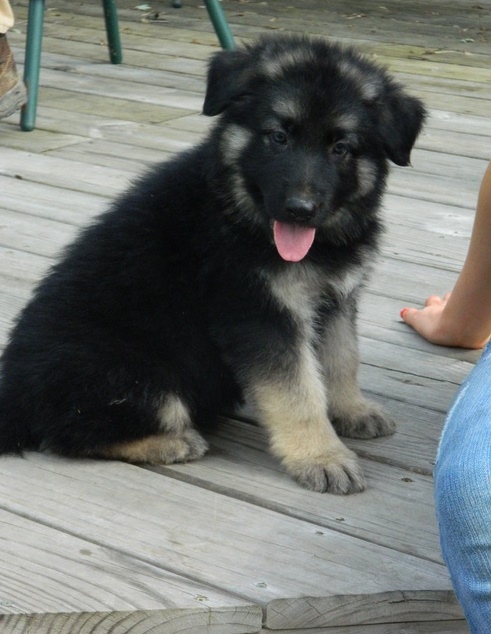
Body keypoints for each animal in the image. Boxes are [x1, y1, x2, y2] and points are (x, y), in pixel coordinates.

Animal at [0, 35, 424, 494]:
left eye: (341, 148)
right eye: (278, 136)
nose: (299, 210)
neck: (237, 212)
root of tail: (13, 394)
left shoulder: (336, 300)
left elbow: (342, 358)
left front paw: (352, 410)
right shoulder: (260, 313)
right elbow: (298, 390)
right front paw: (322, 456)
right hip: (132, 375)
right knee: (69, 433)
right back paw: (171, 442)